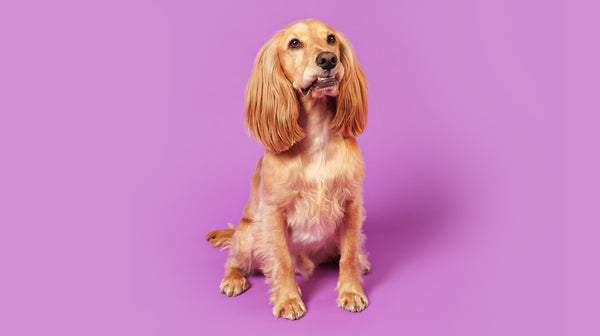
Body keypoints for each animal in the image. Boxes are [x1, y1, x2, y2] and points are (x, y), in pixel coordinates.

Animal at [207, 19, 370, 320]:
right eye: (294, 43)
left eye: (331, 39)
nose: (328, 59)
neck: (317, 135)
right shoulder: (273, 211)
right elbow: (281, 260)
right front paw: (288, 299)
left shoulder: (352, 203)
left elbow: (349, 254)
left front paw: (351, 291)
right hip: (248, 234)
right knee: (234, 261)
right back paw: (233, 279)